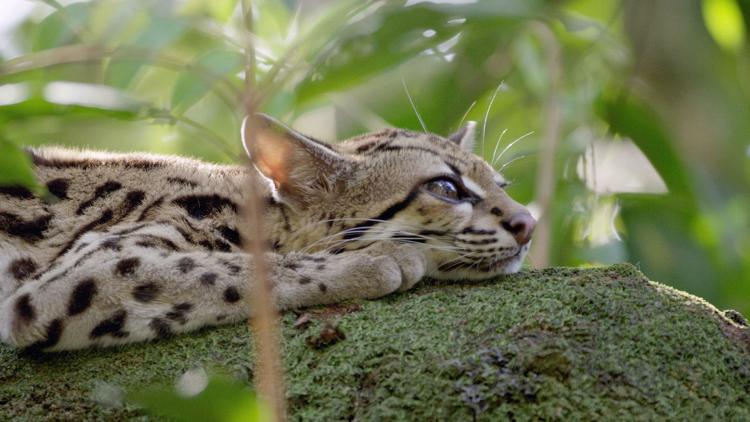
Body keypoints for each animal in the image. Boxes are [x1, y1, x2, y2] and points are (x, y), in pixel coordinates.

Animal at [1, 113, 540, 352]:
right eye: (446, 187)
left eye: (502, 185)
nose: (529, 223)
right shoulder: (87, 269)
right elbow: (232, 270)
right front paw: (378, 260)